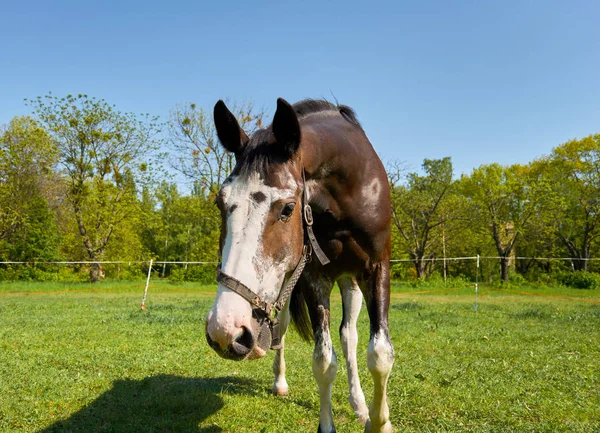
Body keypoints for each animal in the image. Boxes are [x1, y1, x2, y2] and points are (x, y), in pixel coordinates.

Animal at [204, 98, 396, 432]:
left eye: (288, 208)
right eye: (220, 202)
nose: (225, 330)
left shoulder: (376, 269)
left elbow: (380, 353)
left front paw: (378, 421)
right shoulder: (315, 277)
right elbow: (323, 360)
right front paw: (327, 425)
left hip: (350, 282)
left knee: (349, 336)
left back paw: (359, 405)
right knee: (280, 329)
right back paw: (280, 383)